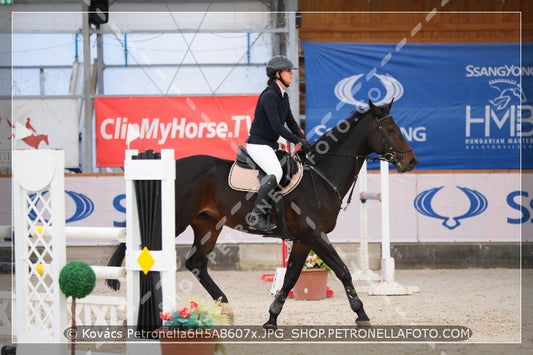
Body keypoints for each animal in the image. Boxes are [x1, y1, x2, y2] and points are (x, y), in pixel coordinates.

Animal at [107, 98, 416, 330]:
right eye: (390, 129)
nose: (412, 161)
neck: (321, 175)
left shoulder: (303, 240)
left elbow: (291, 277)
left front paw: (272, 317)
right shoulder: (315, 234)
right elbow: (342, 271)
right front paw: (361, 314)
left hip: (208, 225)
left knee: (196, 263)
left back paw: (225, 306)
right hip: (175, 221)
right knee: (145, 254)